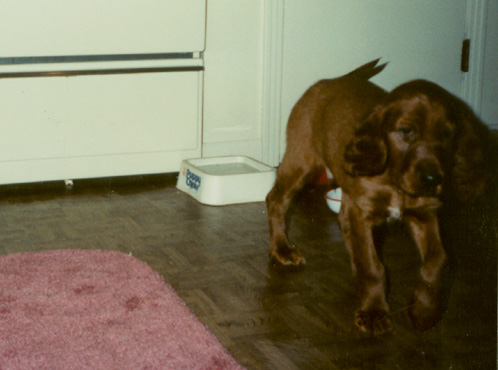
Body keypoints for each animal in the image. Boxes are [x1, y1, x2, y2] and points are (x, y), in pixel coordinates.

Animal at [266, 59, 492, 334]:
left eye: (447, 135)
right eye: (406, 131)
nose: (432, 180)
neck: (396, 182)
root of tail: (335, 78)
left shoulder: (424, 215)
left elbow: (438, 260)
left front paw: (424, 310)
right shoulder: (362, 213)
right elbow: (373, 266)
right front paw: (374, 312)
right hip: (301, 159)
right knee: (276, 200)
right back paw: (282, 249)